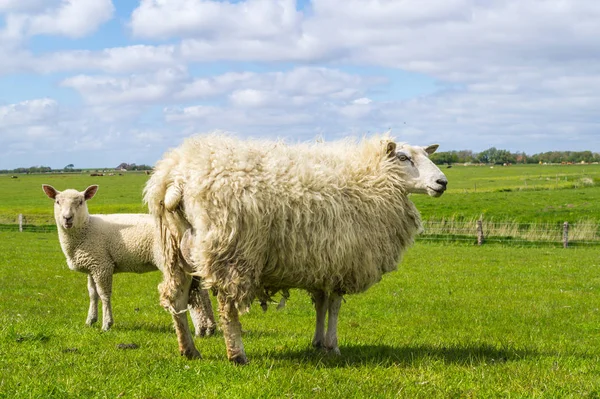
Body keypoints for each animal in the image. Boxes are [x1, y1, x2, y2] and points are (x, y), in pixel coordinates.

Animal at [42, 184, 217, 356]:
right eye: (57, 201)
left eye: (80, 202)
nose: (67, 218)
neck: (86, 228)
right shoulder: (92, 266)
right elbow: (93, 294)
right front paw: (90, 320)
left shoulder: (102, 265)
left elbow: (104, 295)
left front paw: (106, 324)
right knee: (201, 293)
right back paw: (208, 329)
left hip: (172, 260)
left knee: (194, 294)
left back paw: (201, 329)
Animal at [144, 133, 446, 364]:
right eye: (403, 157)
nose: (442, 182)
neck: (373, 178)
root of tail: (177, 178)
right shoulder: (344, 262)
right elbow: (335, 306)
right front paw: (333, 346)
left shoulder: (324, 264)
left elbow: (321, 304)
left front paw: (318, 342)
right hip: (232, 251)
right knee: (228, 306)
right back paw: (237, 355)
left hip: (173, 252)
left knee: (176, 299)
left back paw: (189, 350)